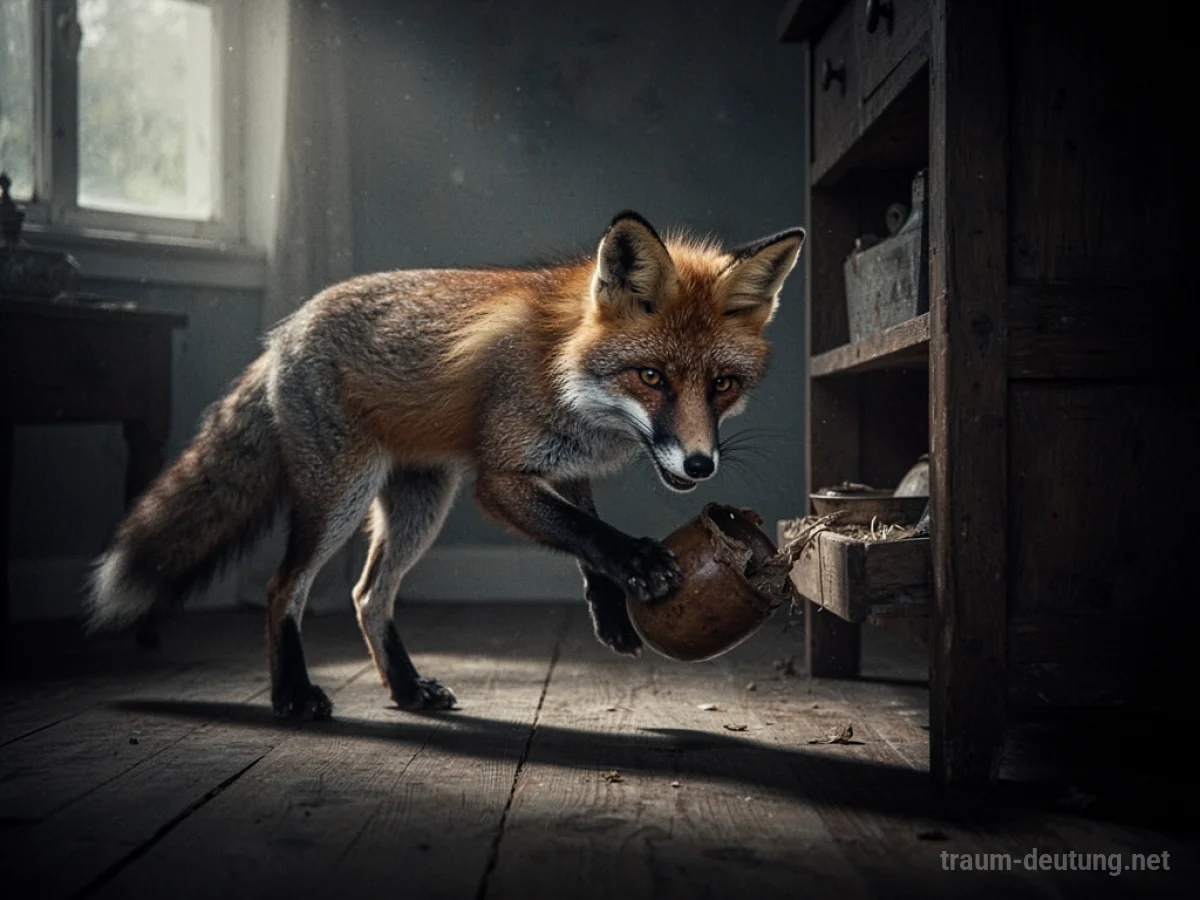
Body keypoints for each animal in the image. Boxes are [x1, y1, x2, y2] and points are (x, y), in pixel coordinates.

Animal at [87, 211, 805, 719]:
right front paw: (638, 562)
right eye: (651, 377)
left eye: (722, 386)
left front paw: (608, 607)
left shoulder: (565, 467)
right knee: (284, 587)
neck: (568, 374)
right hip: (342, 496)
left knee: (368, 595)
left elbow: (584, 534)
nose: (701, 463)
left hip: (418, 506)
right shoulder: (497, 479)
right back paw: (292, 694)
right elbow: (586, 532)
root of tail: (283, 332)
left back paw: (405, 688)